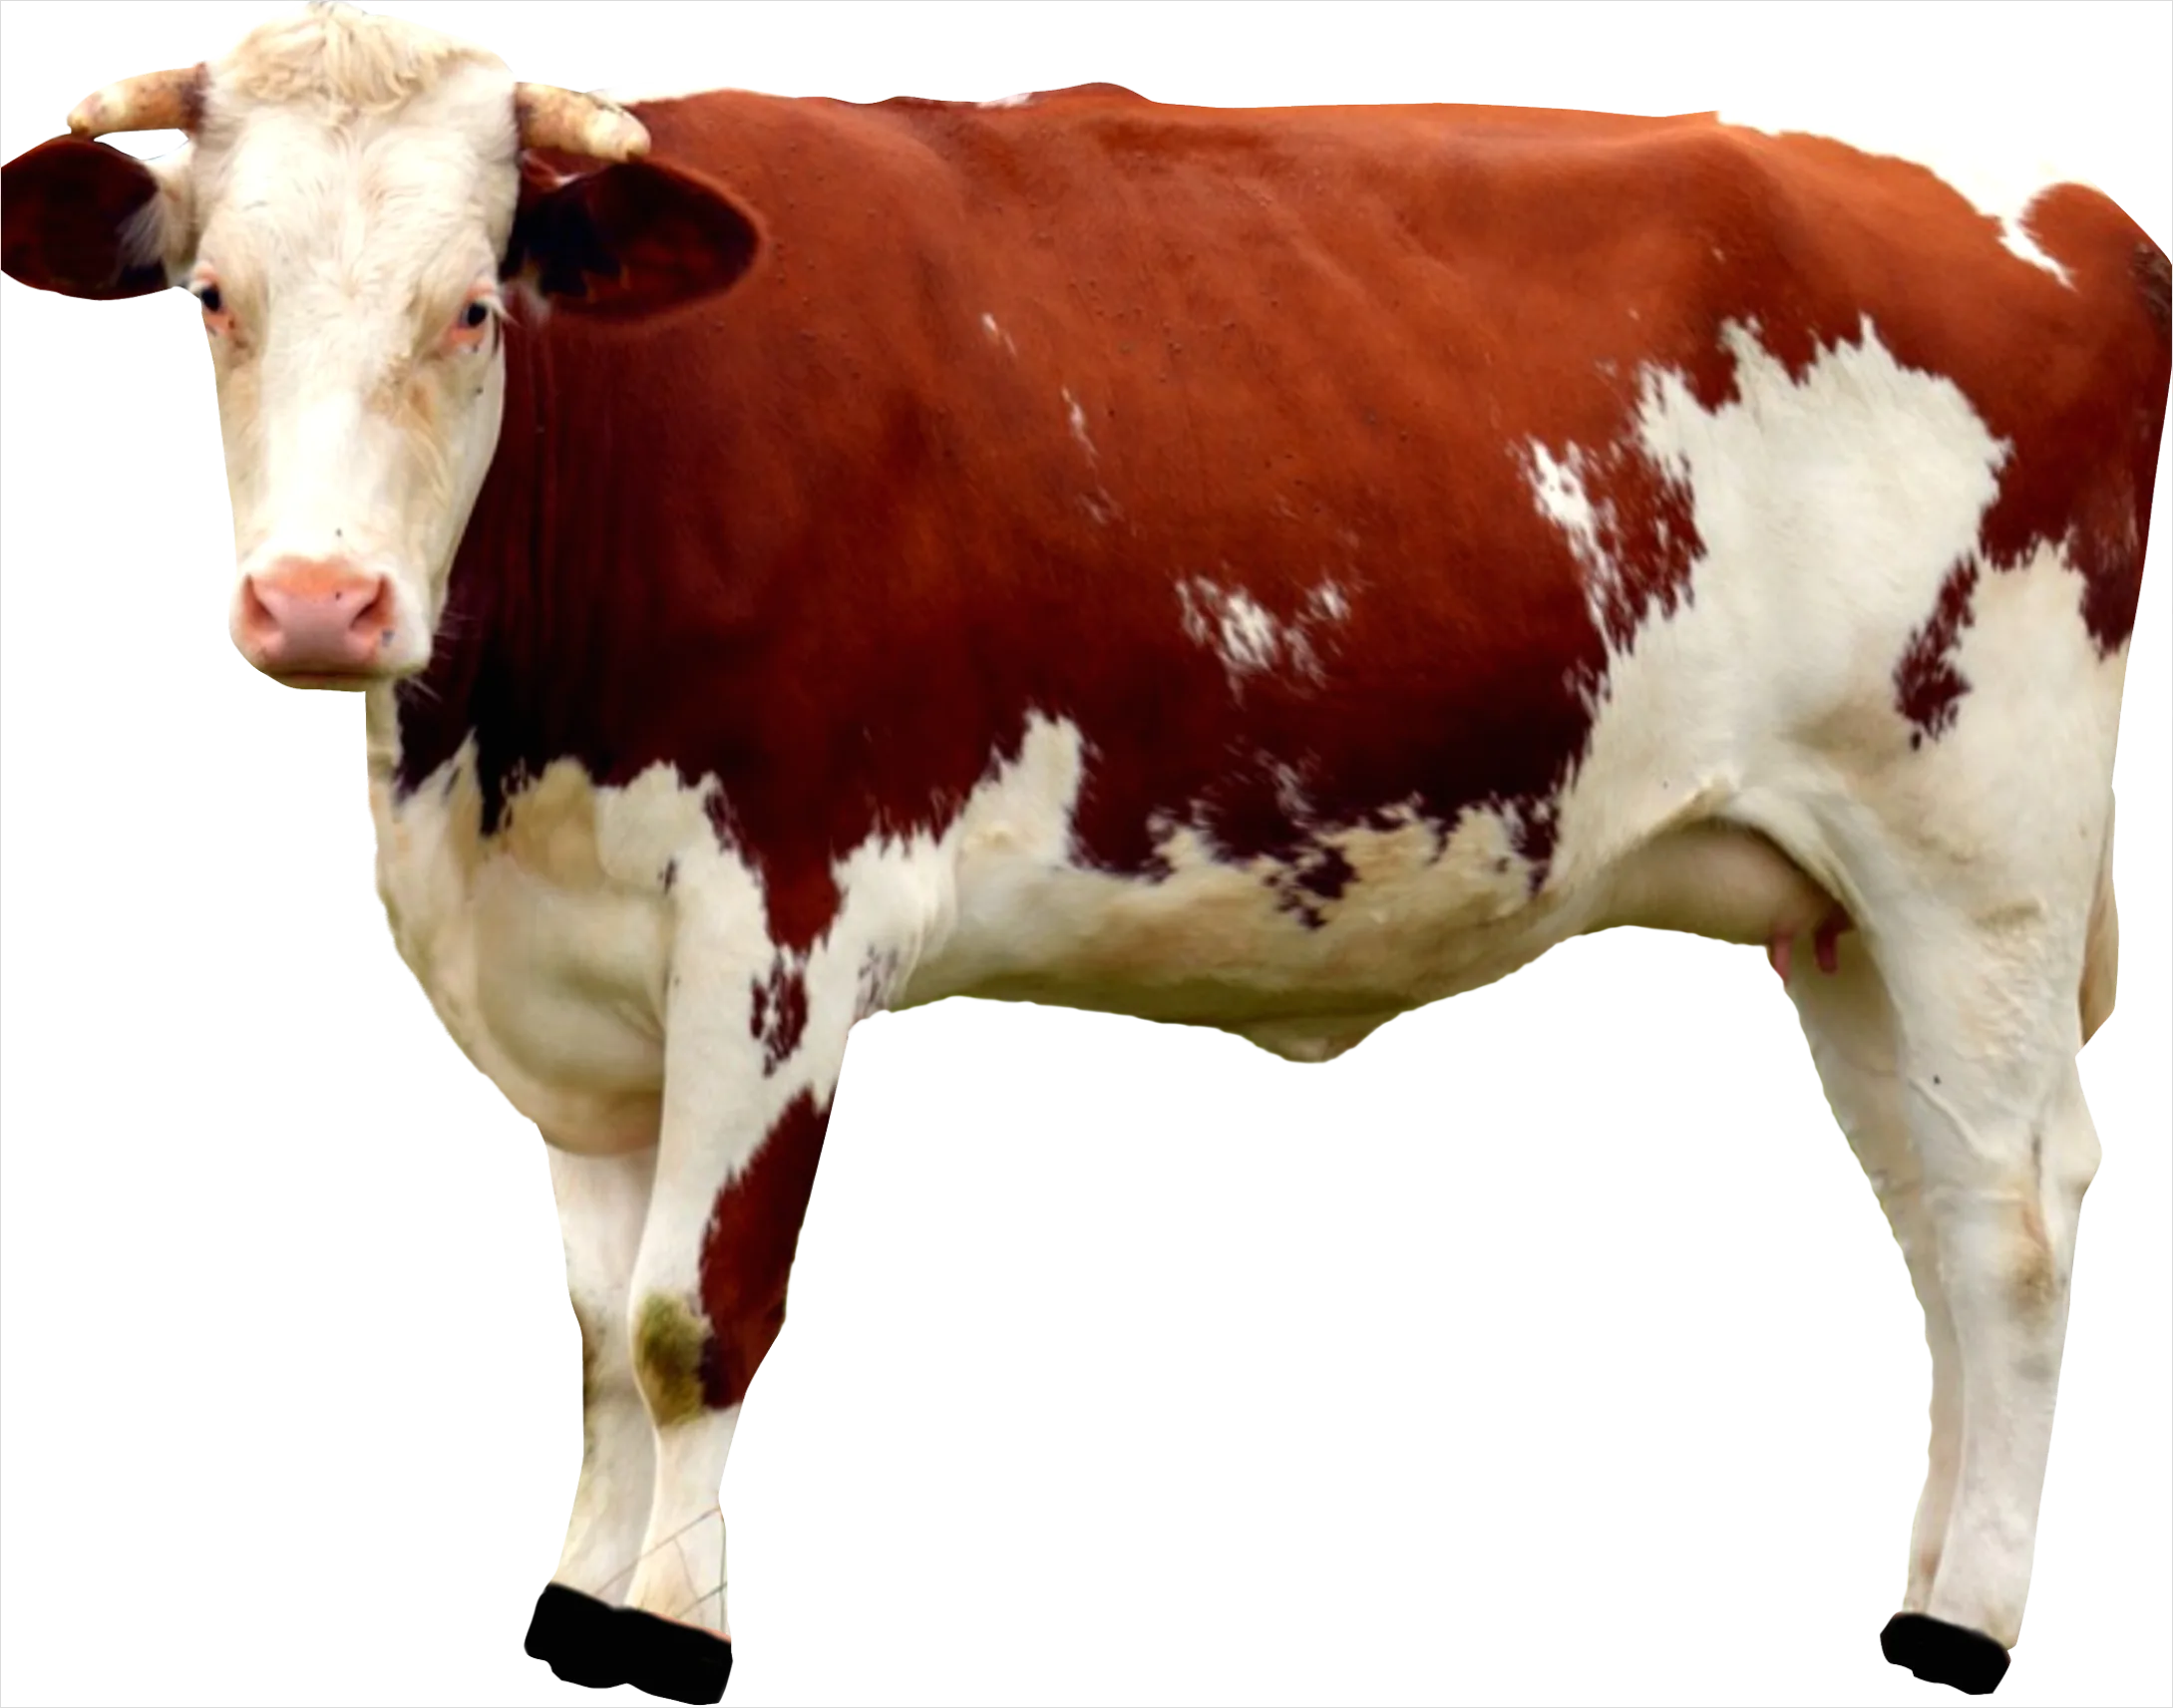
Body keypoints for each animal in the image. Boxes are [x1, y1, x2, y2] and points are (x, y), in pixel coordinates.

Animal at [4, 9, 2164, 1700]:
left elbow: (692, 1320)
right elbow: (602, 1342)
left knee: (2007, 1220)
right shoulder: (571, 965)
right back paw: (1928, 1580)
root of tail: (2056, 195)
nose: (319, 602)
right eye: (219, 301)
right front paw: (582, 1594)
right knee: (1933, 1224)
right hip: (1840, 907)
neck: (496, 746)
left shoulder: (781, 915)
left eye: (472, 304)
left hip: (1976, 850)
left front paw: (670, 1626)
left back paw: (1964, 1626)